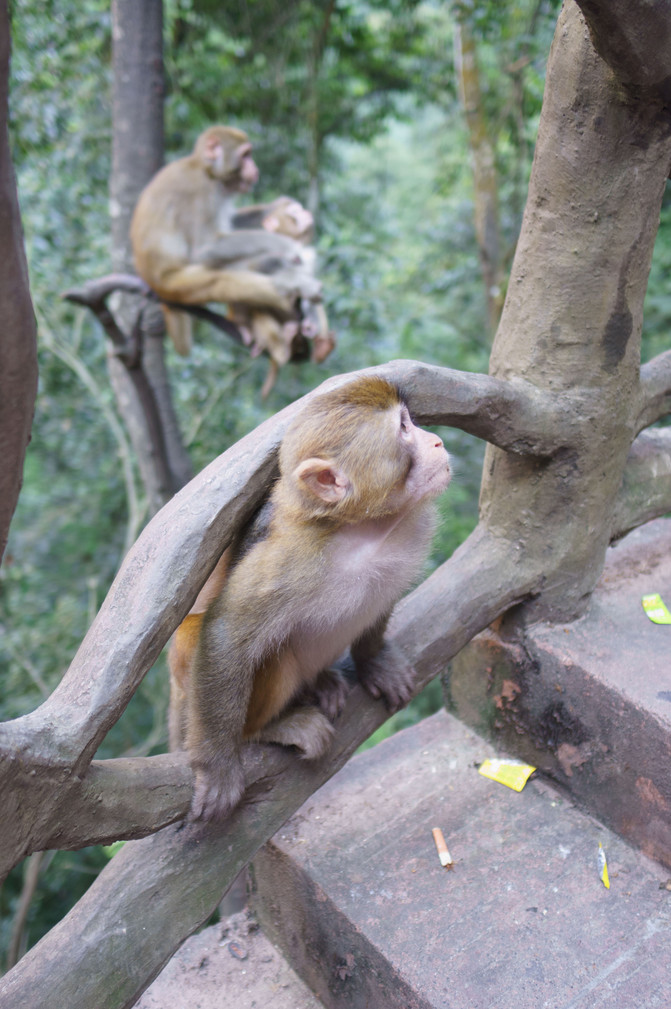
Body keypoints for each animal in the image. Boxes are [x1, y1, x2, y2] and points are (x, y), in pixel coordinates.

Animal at [128, 124, 328, 379]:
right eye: (245, 155)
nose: (254, 168)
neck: (206, 170)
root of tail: (150, 279)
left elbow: (232, 223)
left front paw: (274, 208)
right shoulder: (202, 191)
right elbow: (206, 248)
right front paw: (287, 245)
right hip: (177, 283)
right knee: (227, 278)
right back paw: (289, 285)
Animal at [167, 375, 452, 823]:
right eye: (404, 429)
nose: (437, 441)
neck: (362, 530)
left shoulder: (411, 532)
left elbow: (382, 599)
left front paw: (375, 662)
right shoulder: (291, 558)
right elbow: (225, 634)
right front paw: (218, 766)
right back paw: (267, 728)